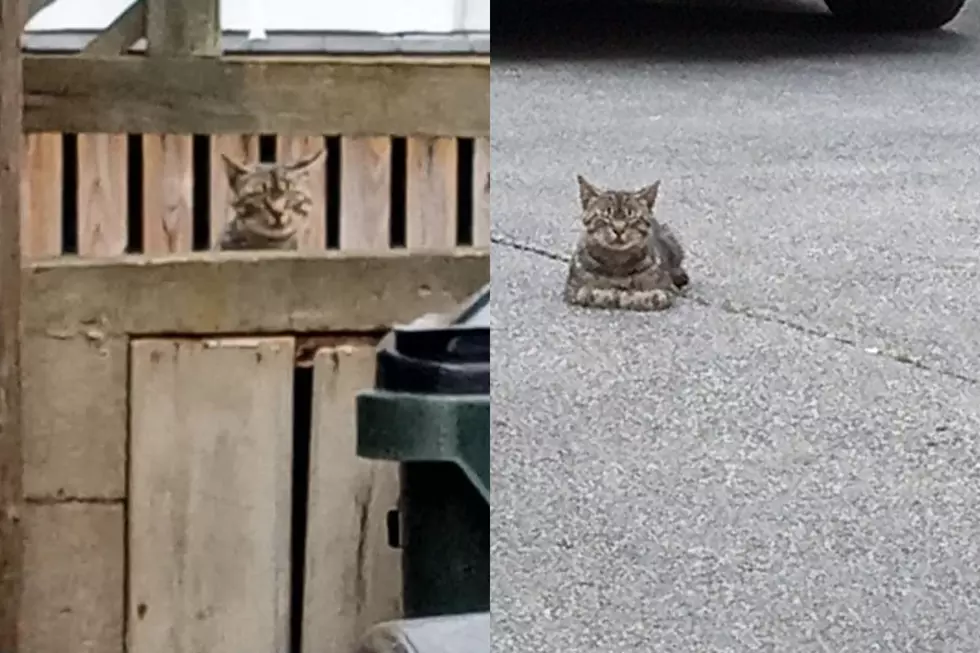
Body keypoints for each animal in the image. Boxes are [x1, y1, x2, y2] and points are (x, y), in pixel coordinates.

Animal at [560, 174, 688, 312]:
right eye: (606, 216)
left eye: (631, 216)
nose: (619, 229)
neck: (617, 261)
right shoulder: (573, 289)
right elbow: (595, 294)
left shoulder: (665, 291)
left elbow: (643, 297)